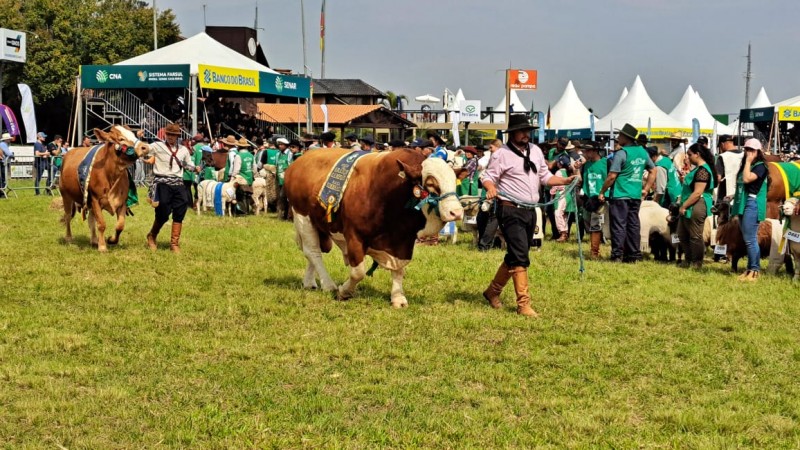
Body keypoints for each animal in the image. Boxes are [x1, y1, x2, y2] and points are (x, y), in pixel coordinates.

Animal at [286, 149, 462, 308]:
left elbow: (399, 270)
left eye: (454, 183)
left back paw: (310, 282)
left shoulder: (403, 240)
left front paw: (398, 297)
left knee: (316, 253)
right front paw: (344, 292)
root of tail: (300, 160)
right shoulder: (354, 237)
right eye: (431, 184)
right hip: (303, 217)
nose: (456, 212)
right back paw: (328, 284)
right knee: (313, 252)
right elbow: (358, 272)